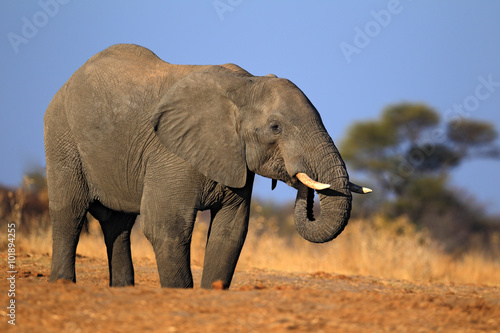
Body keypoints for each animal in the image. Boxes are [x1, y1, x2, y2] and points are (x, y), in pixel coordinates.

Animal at [44, 43, 372, 288]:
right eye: (275, 128)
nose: (299, 180)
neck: (246, 85)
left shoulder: (237, 161)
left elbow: (230, 231)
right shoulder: (169, 151)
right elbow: (166, 226)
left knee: (118, 223)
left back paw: (123, 290)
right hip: (62, 136)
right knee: (70, 212)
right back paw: (62, 284)